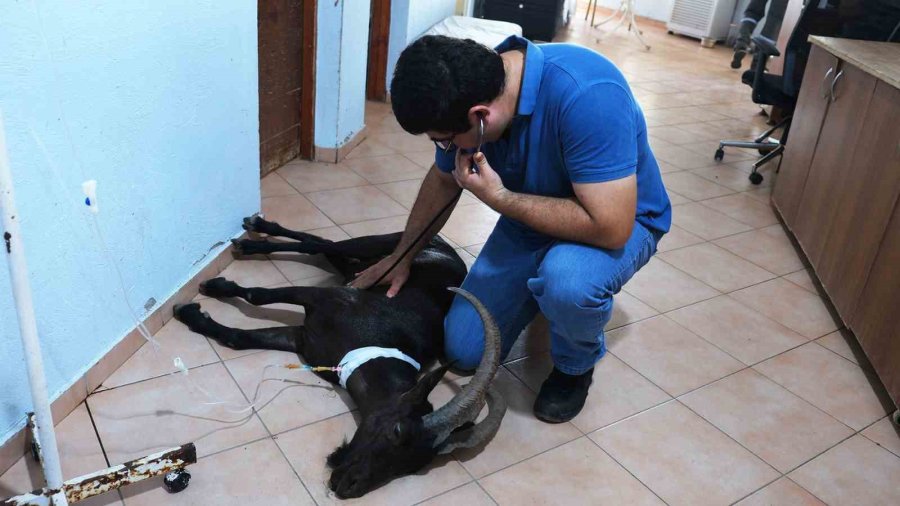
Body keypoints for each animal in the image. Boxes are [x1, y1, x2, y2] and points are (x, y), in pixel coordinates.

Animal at [172, 216, 502, 498]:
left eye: (412, 467)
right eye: (397, 430)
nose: (348, 487)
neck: (372, 352)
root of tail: (443, 245)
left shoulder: (302, 339)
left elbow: (238, 338)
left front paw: (195, 316)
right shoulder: (321, 298)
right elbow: (257, 295)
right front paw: (208, 292)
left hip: (356, 268)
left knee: (321, 244)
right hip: (374, 248)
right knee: (320, 244)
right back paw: (255, 236)